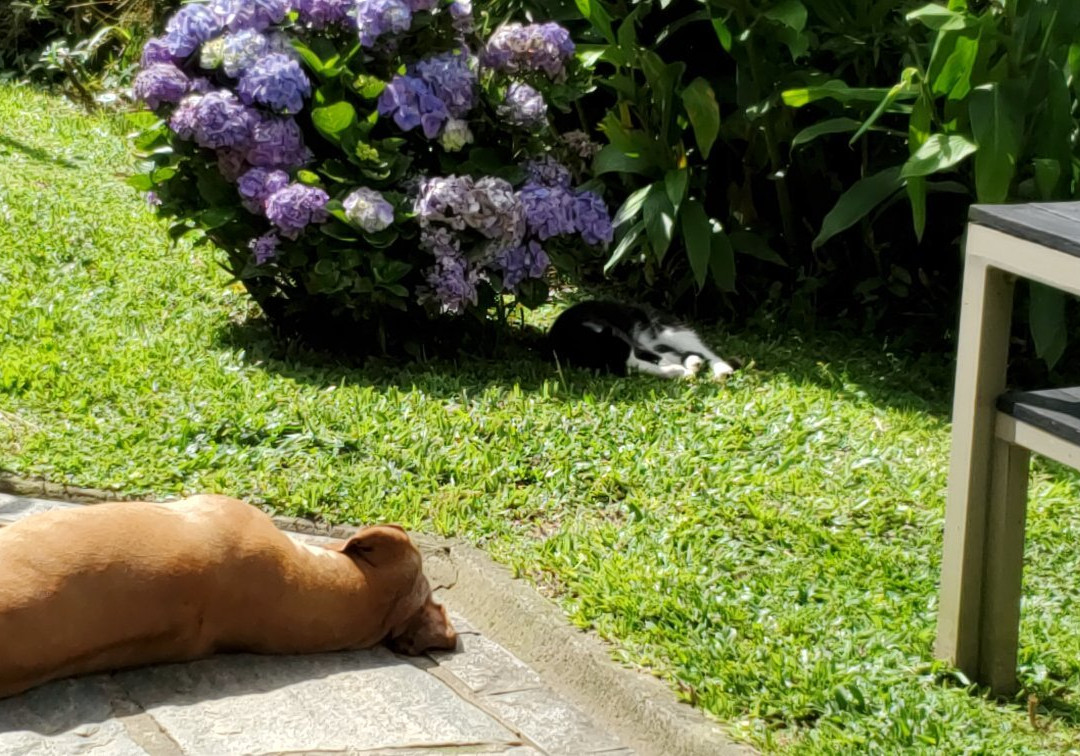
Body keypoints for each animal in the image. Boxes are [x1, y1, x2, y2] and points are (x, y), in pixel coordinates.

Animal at [544, 300, 738, 380]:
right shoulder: (620, 363)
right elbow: (645, 366)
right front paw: (680, 371)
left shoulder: (633, 345)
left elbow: (656, 360)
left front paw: (677, 369)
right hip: (649, 340)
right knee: (673, 353)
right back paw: (693, 363)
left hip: (663, 329)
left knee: (702, 349)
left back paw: (721, 369)